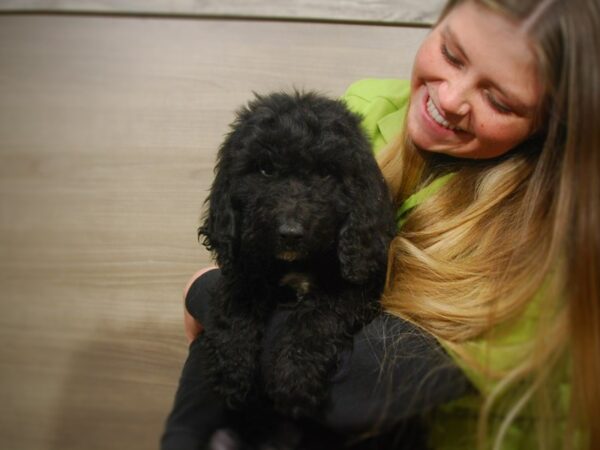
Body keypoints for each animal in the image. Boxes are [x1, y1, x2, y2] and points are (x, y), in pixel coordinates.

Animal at [197, 90, 396, 446]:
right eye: (264, 170)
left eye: (326, 173)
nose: (290, 232)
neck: (297, 263)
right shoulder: (243, 264)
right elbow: (234, 302)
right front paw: (231, 371)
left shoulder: (362, 286)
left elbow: (320, 313)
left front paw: (294, 376)